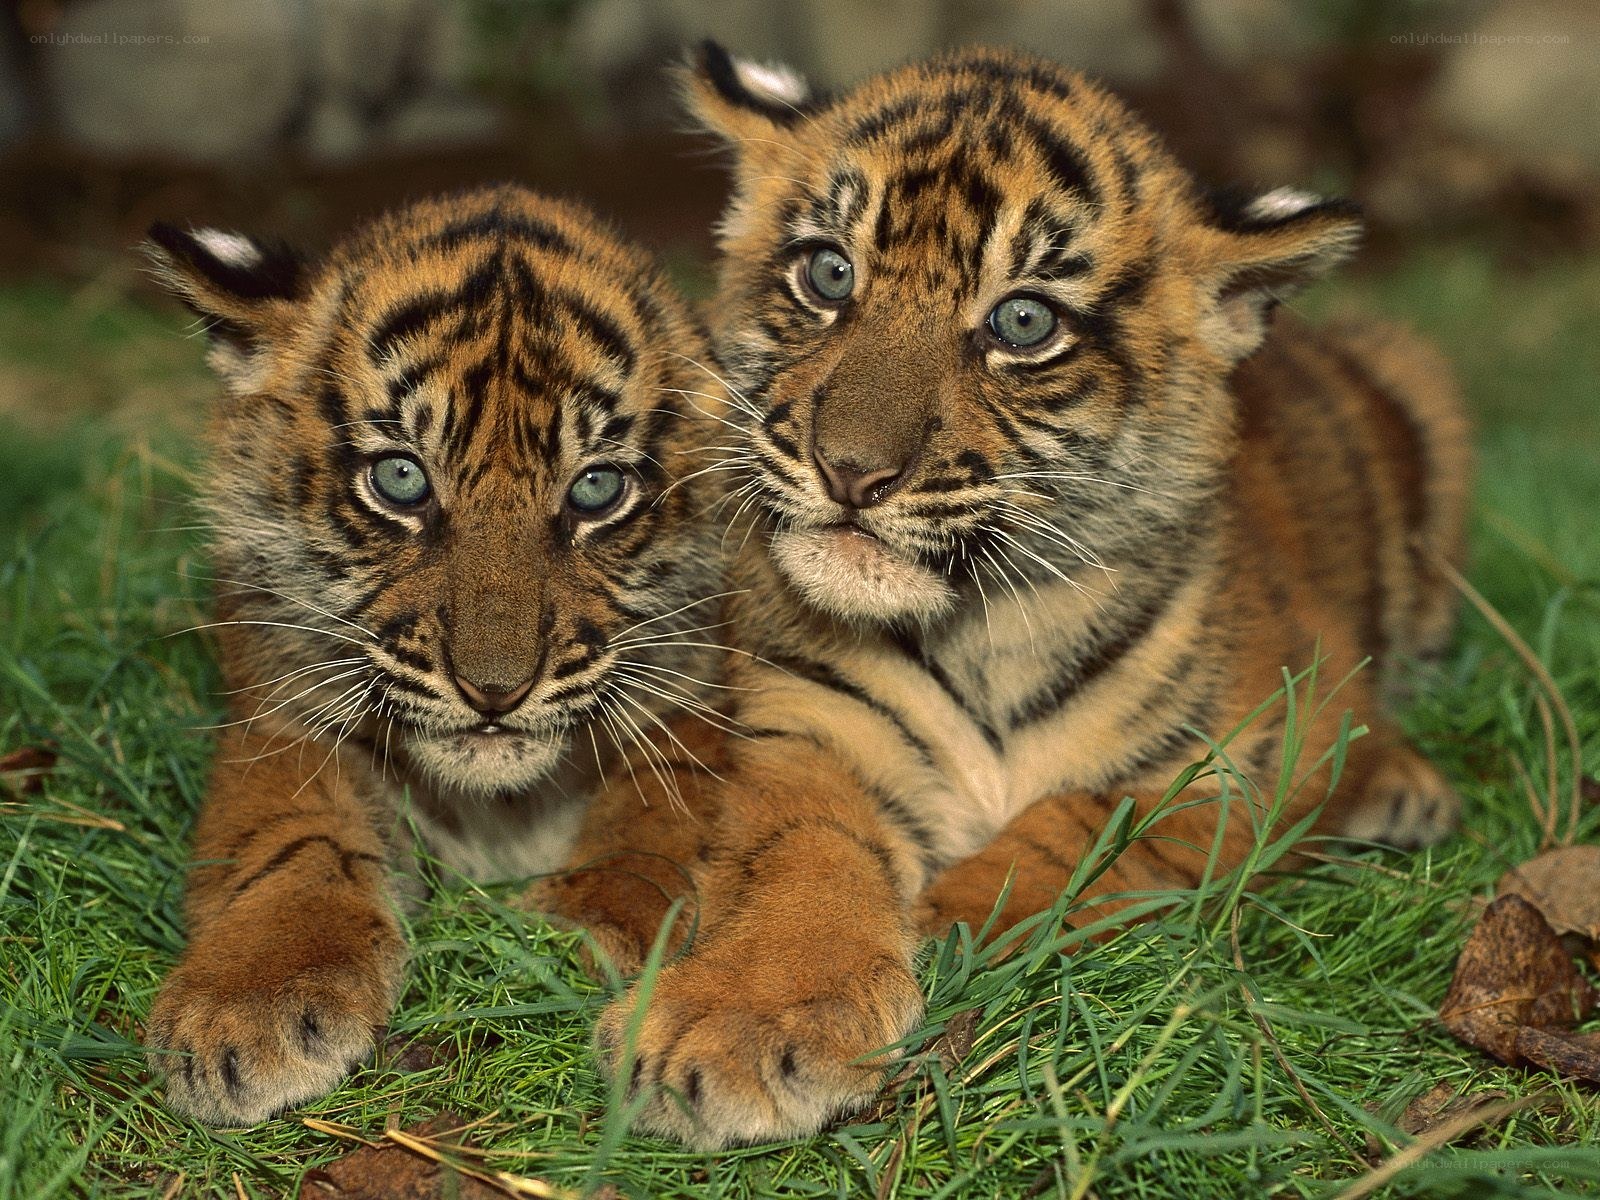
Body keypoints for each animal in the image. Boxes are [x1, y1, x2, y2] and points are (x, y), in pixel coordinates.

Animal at [140, 184, 736, 1124]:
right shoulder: (281, 717)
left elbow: (651, 824)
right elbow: (291, 841)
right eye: (401, 479)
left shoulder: (698, 705)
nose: (495, 691)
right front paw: (247, 1003)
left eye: (597, 488)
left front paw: (581, 930)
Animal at [548, 43, 1473, 1148]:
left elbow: (1083, 823)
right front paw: (740, 1021)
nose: (850, 471)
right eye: (828, 273)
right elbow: (799, 861)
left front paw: (948, 917)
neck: (982, 625)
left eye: (1022, 321)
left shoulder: (1257, 750)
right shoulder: (809, 733)